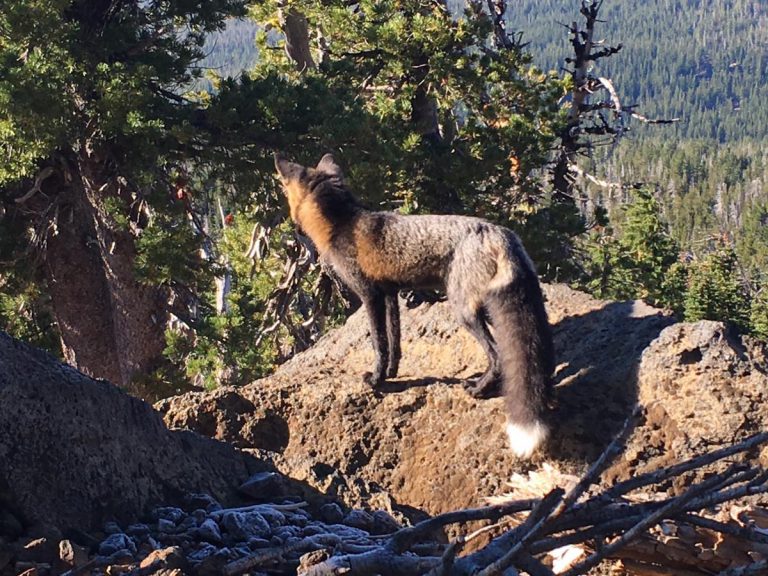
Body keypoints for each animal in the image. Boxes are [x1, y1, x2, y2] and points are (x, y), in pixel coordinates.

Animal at [274, 153, 555, 458]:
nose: (292, 225)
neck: (343, 225)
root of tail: (500, 233)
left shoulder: (369, 295)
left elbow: (379, 343)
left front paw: (377, 380)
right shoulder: (390, 293)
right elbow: (395, 339)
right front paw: (392, 373)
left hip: (464, 309)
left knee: (498, 354)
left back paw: (479, 389)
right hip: (492, 307)